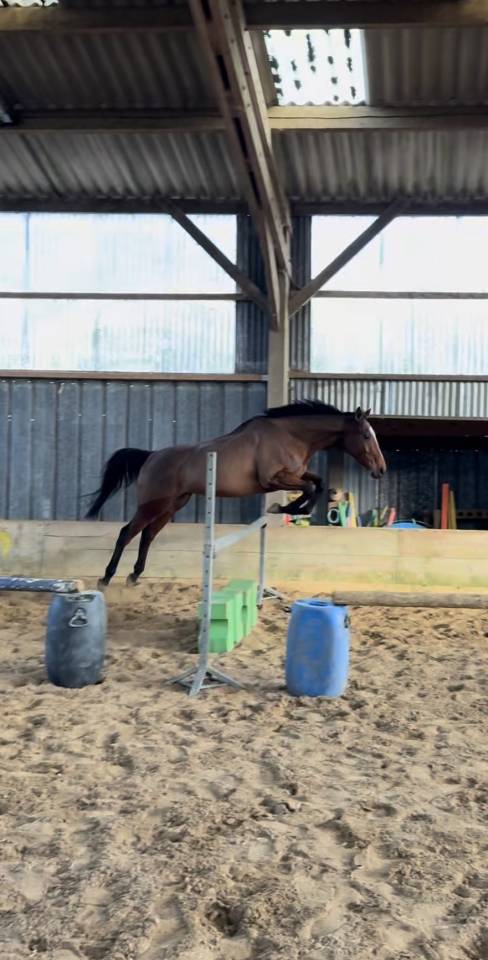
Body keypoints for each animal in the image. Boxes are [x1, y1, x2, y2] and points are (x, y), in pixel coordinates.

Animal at [86, 400, 386, 588]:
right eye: (366, 436)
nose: (381, 470)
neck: (292, 436)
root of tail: (151, 456)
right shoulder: (273, 479)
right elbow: (311, 488)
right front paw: (285, 510)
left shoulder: (296, 475)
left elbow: (318, 483)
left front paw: (292, 510)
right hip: (152, 505)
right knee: (127, 533)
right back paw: (106, 578)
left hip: (171, 506)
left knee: (147, 535)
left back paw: (134, 576)